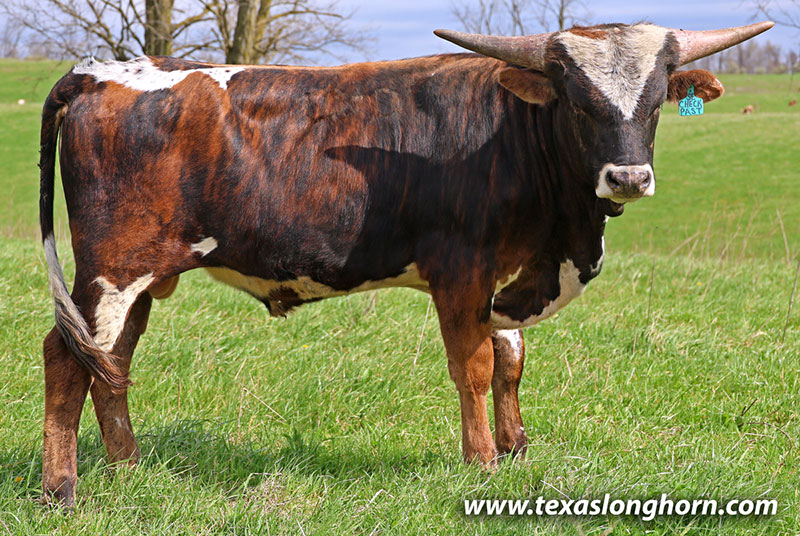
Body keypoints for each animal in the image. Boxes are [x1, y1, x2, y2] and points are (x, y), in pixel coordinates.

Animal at [38, 21, 772, 507]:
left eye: (655, 100)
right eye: (579, 100)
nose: (627, 177)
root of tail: (97, 71)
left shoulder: (506, 276)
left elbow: (511, 360)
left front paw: (516, 448)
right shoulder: (461, 271)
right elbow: (474, 369)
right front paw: (482, 463)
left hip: (140, 280)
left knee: (112, 363)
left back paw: (129, 470)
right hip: (109, 268)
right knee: (66, 357)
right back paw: (62, 487)